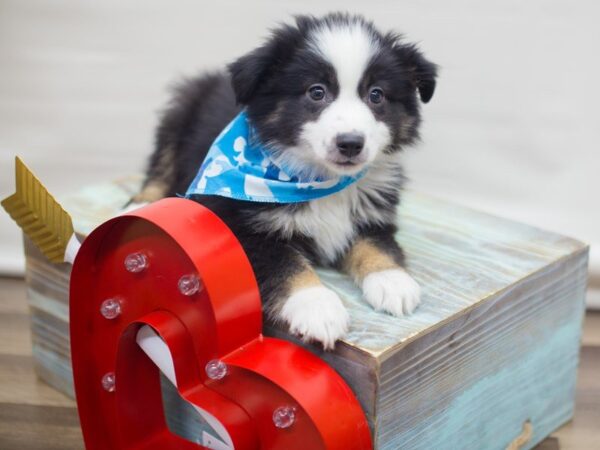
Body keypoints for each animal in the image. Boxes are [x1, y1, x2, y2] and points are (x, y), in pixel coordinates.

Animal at [135, 12, 436, 350]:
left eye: (377, 95)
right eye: (316, 92)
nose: (350, 143)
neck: (320, 180)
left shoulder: (373, 210)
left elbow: (377, 242)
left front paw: (392, 280)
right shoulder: (236, 225)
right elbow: (285, 263)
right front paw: (318, 308)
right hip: (180, 112)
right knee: (160, 164)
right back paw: (140, 204)